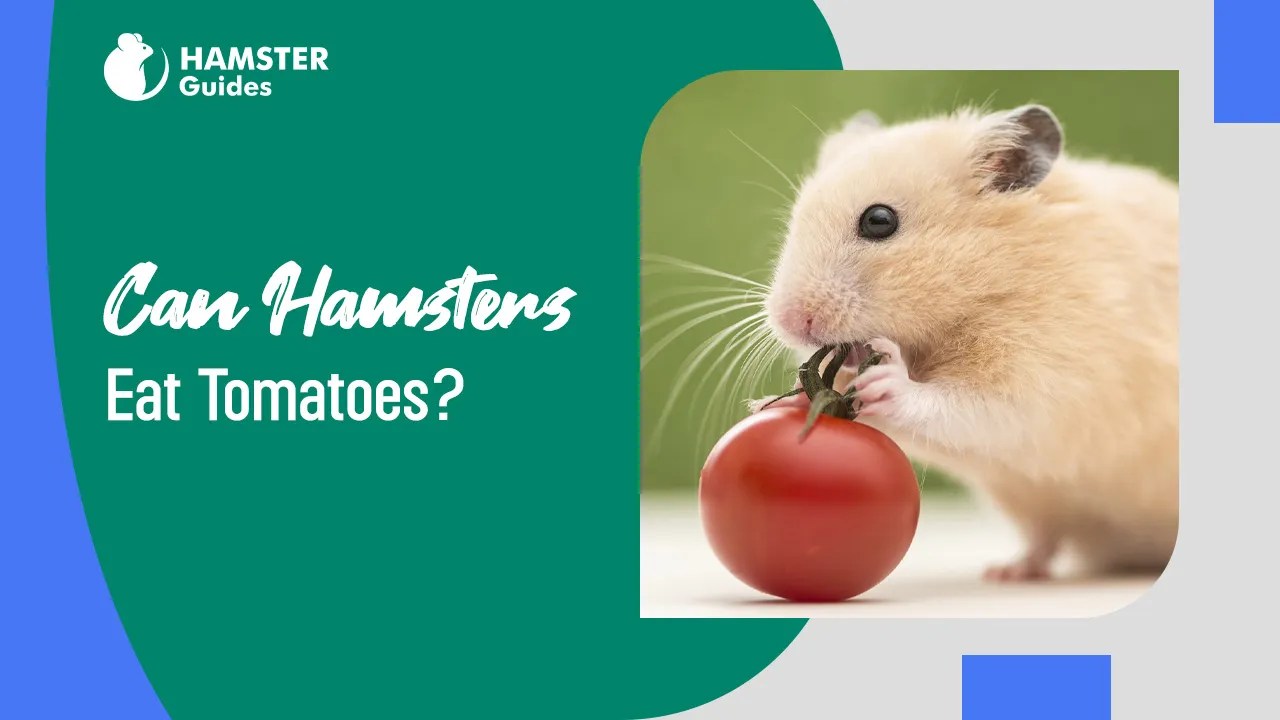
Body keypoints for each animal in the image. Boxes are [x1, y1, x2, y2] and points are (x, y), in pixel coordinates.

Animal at [754, 105, 1178, 581]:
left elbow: (968, 406)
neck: (989, 285)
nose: (791, 322)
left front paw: (888, 381)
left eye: (879, 220)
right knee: (1044, 537)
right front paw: (777, 400)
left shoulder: (1048, 379)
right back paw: (1008, 572)